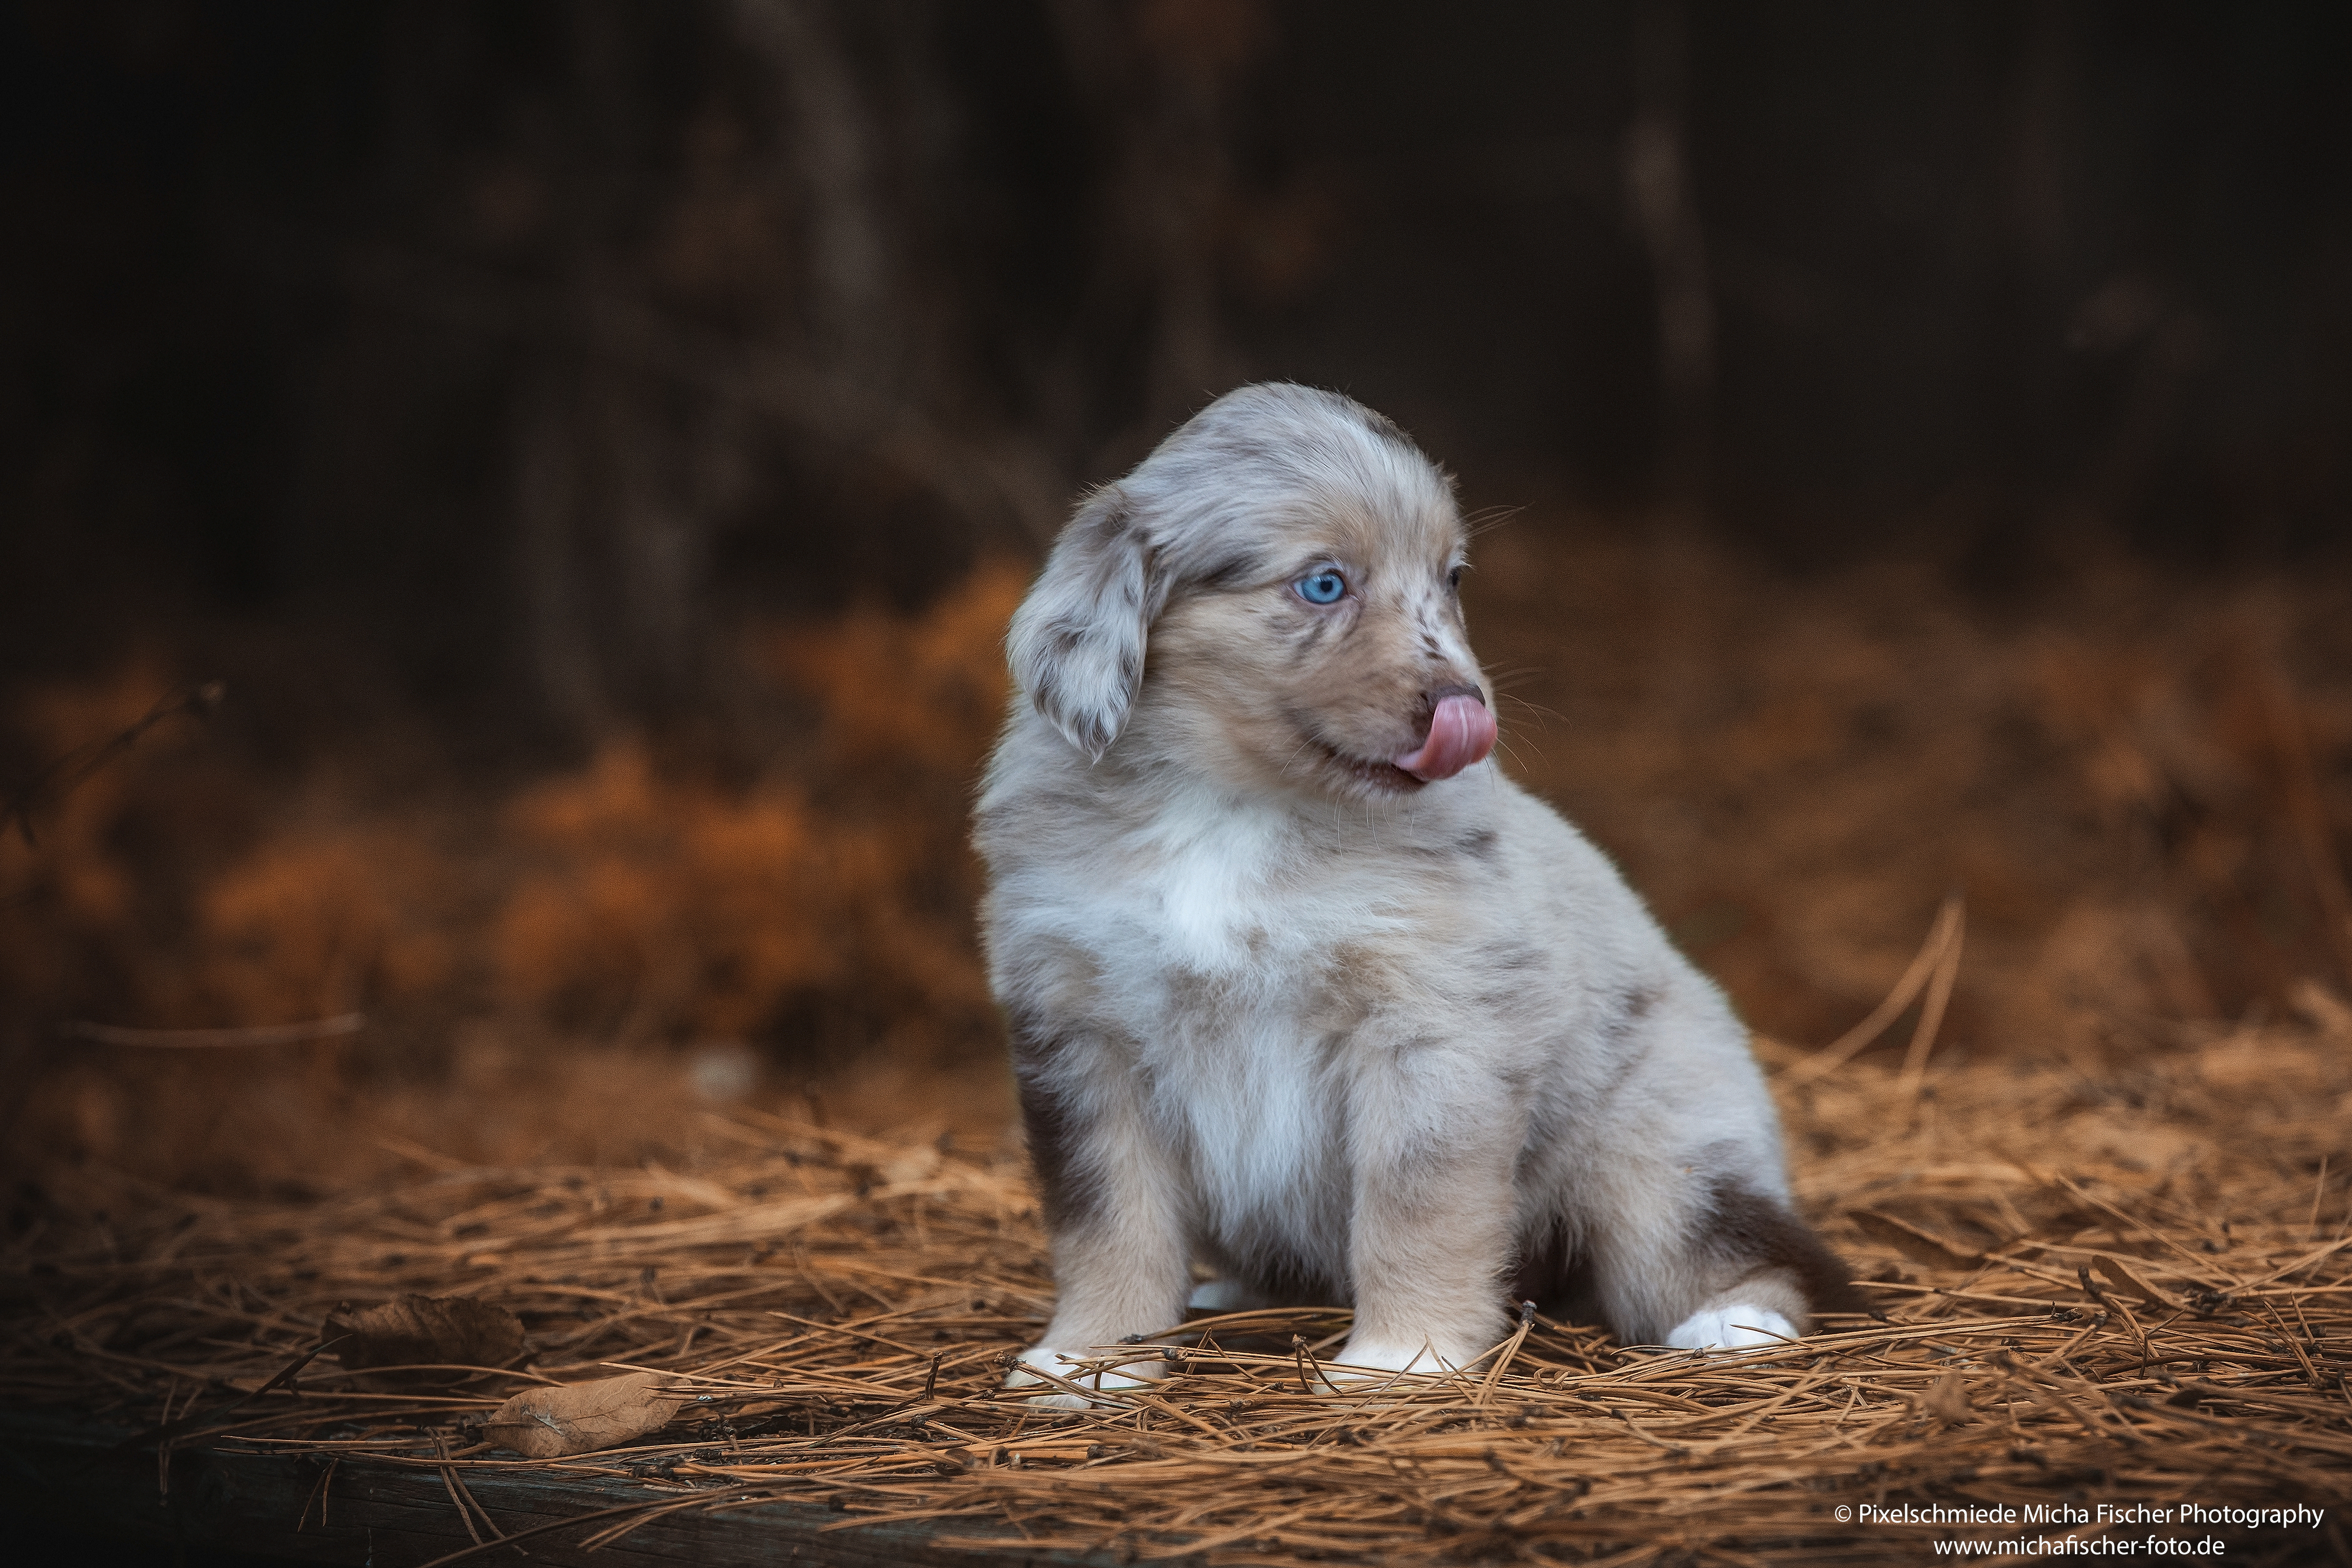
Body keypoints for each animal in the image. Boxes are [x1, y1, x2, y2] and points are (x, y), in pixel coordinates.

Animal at [974, 385, 1853, 1401]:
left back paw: (1734, 1323)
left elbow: (1414, 1206)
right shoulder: (1080, 1031)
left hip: (1656, 1157)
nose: (1469, 711)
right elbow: (1107, 1217)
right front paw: (1086, 1361)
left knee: (1750, 1250)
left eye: (1454, 578)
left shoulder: (1433, 1024)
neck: (1232, 804)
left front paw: (1402, 1360)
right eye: (1324, 585)